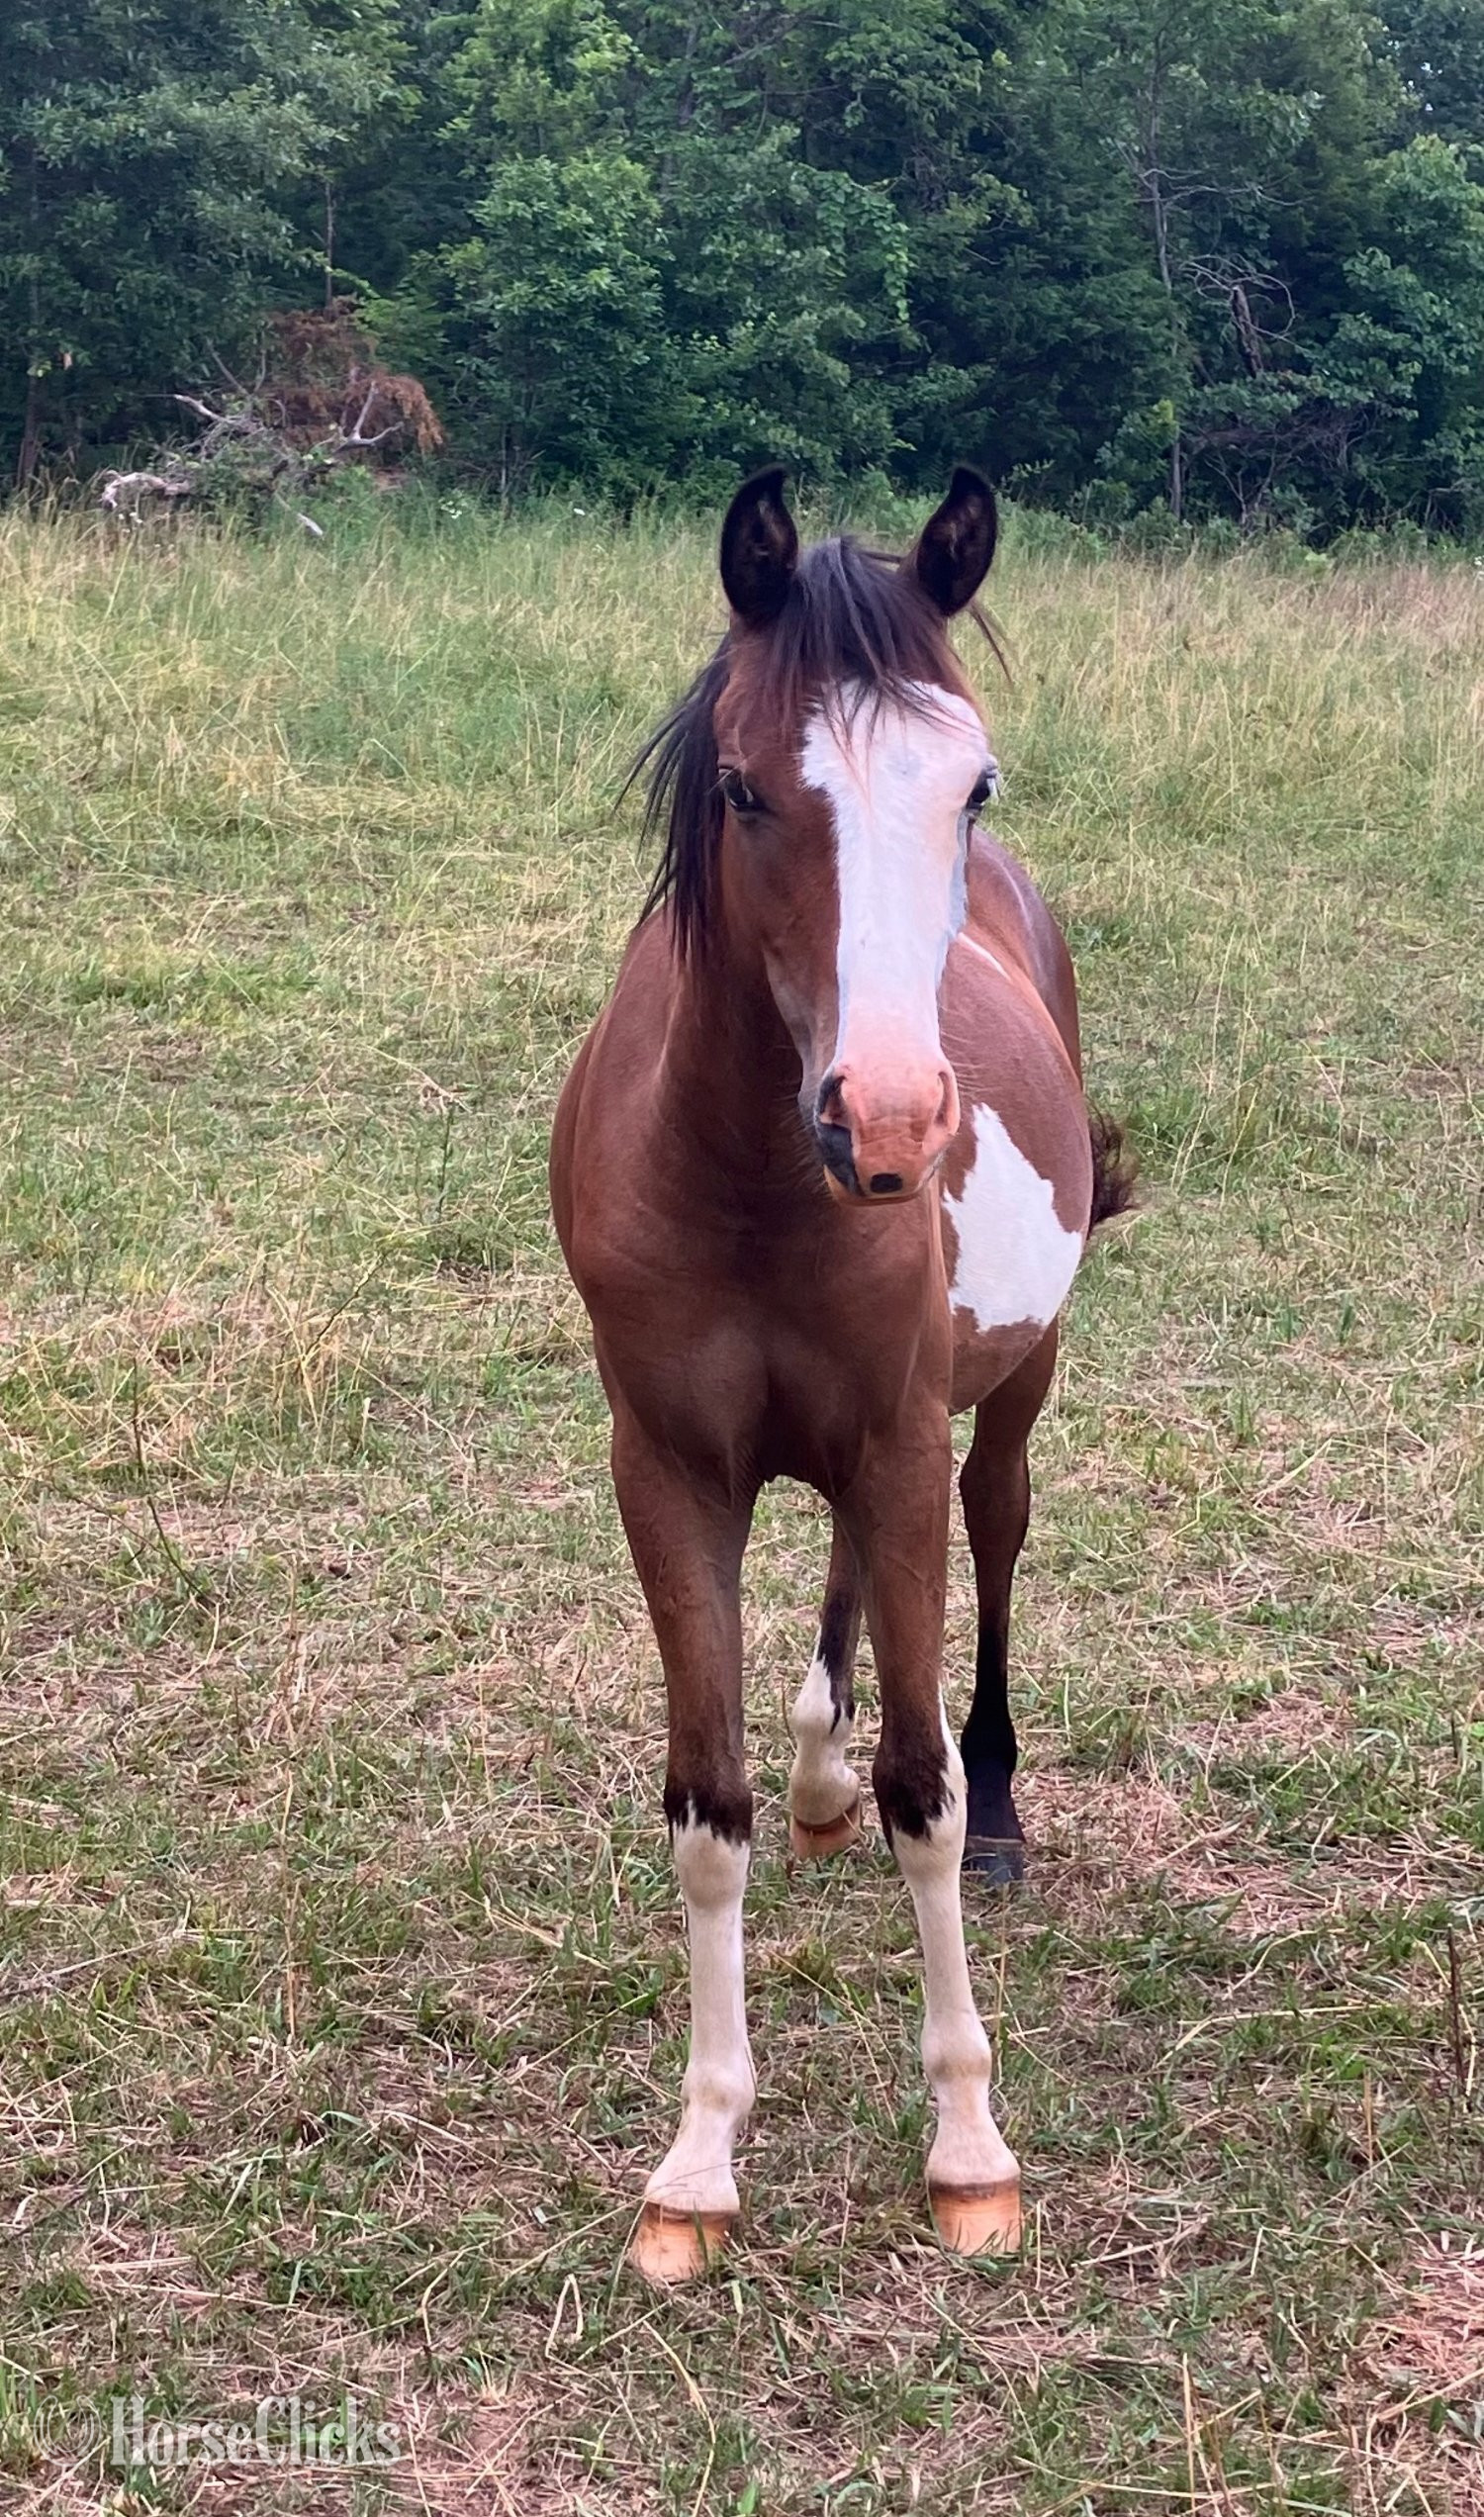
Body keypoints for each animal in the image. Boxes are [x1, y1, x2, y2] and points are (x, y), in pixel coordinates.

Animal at [549, 464, 1131, 2285]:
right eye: (747, 788)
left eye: (971, 780)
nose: (888, 1119)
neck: (751, 1180)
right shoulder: (670, 1471)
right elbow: (707, 1807)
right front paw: (697, 2160)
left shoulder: (892, 1438)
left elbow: (921, 1794)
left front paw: (969, 2149)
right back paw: (816, 1769)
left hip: (999, 1400)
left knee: (991, 1548)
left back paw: (1002, 1807)